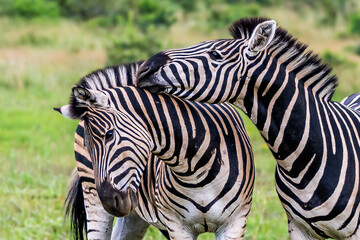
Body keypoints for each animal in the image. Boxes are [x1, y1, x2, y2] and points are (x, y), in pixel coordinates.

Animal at [57, 83, 253, 239]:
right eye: (87, 146)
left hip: (134, 213)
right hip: (93, 197)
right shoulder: (176, 225)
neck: (197, 173)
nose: (110, 203)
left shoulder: (235, 222)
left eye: (110, 134)